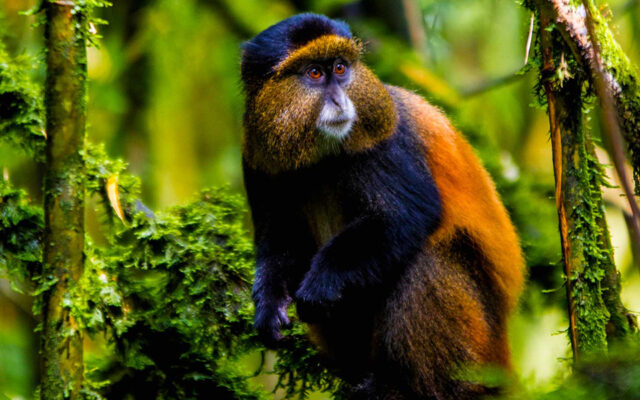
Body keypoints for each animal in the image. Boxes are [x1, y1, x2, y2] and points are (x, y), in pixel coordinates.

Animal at [241, 13, 524, 399]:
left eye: (340, 68)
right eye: (314, 73)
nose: (341, 101)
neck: (322, 157)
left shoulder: (385, 140)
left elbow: (404, 216)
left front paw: (320, 285)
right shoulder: (257, 160)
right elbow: (280, 244)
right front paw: (269, 307)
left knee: (426, 260)